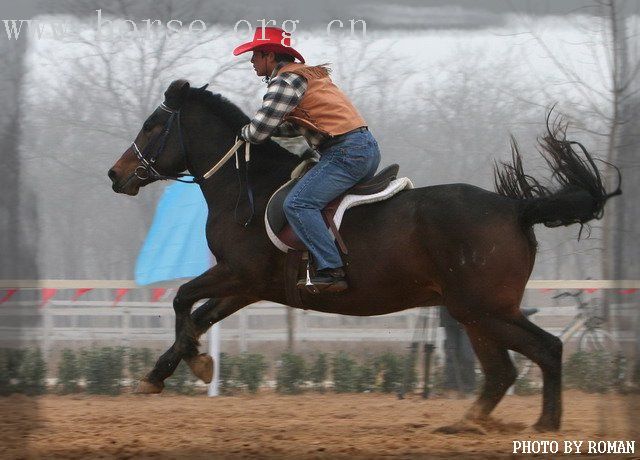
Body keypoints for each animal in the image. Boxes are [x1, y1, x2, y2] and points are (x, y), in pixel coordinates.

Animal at [109, 78, 620, 432]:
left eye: (153, 126)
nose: (116, 174)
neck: (245, 187)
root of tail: (516, 208)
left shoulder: (238, 273)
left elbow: (182, 300)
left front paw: (190, 365)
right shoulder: (250, 287)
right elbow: (200, 316)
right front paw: (169, 370)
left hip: (483, 308)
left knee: (544, 350)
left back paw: (543, 424)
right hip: (475, 314)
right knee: (502, 371)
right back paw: (469, 422)